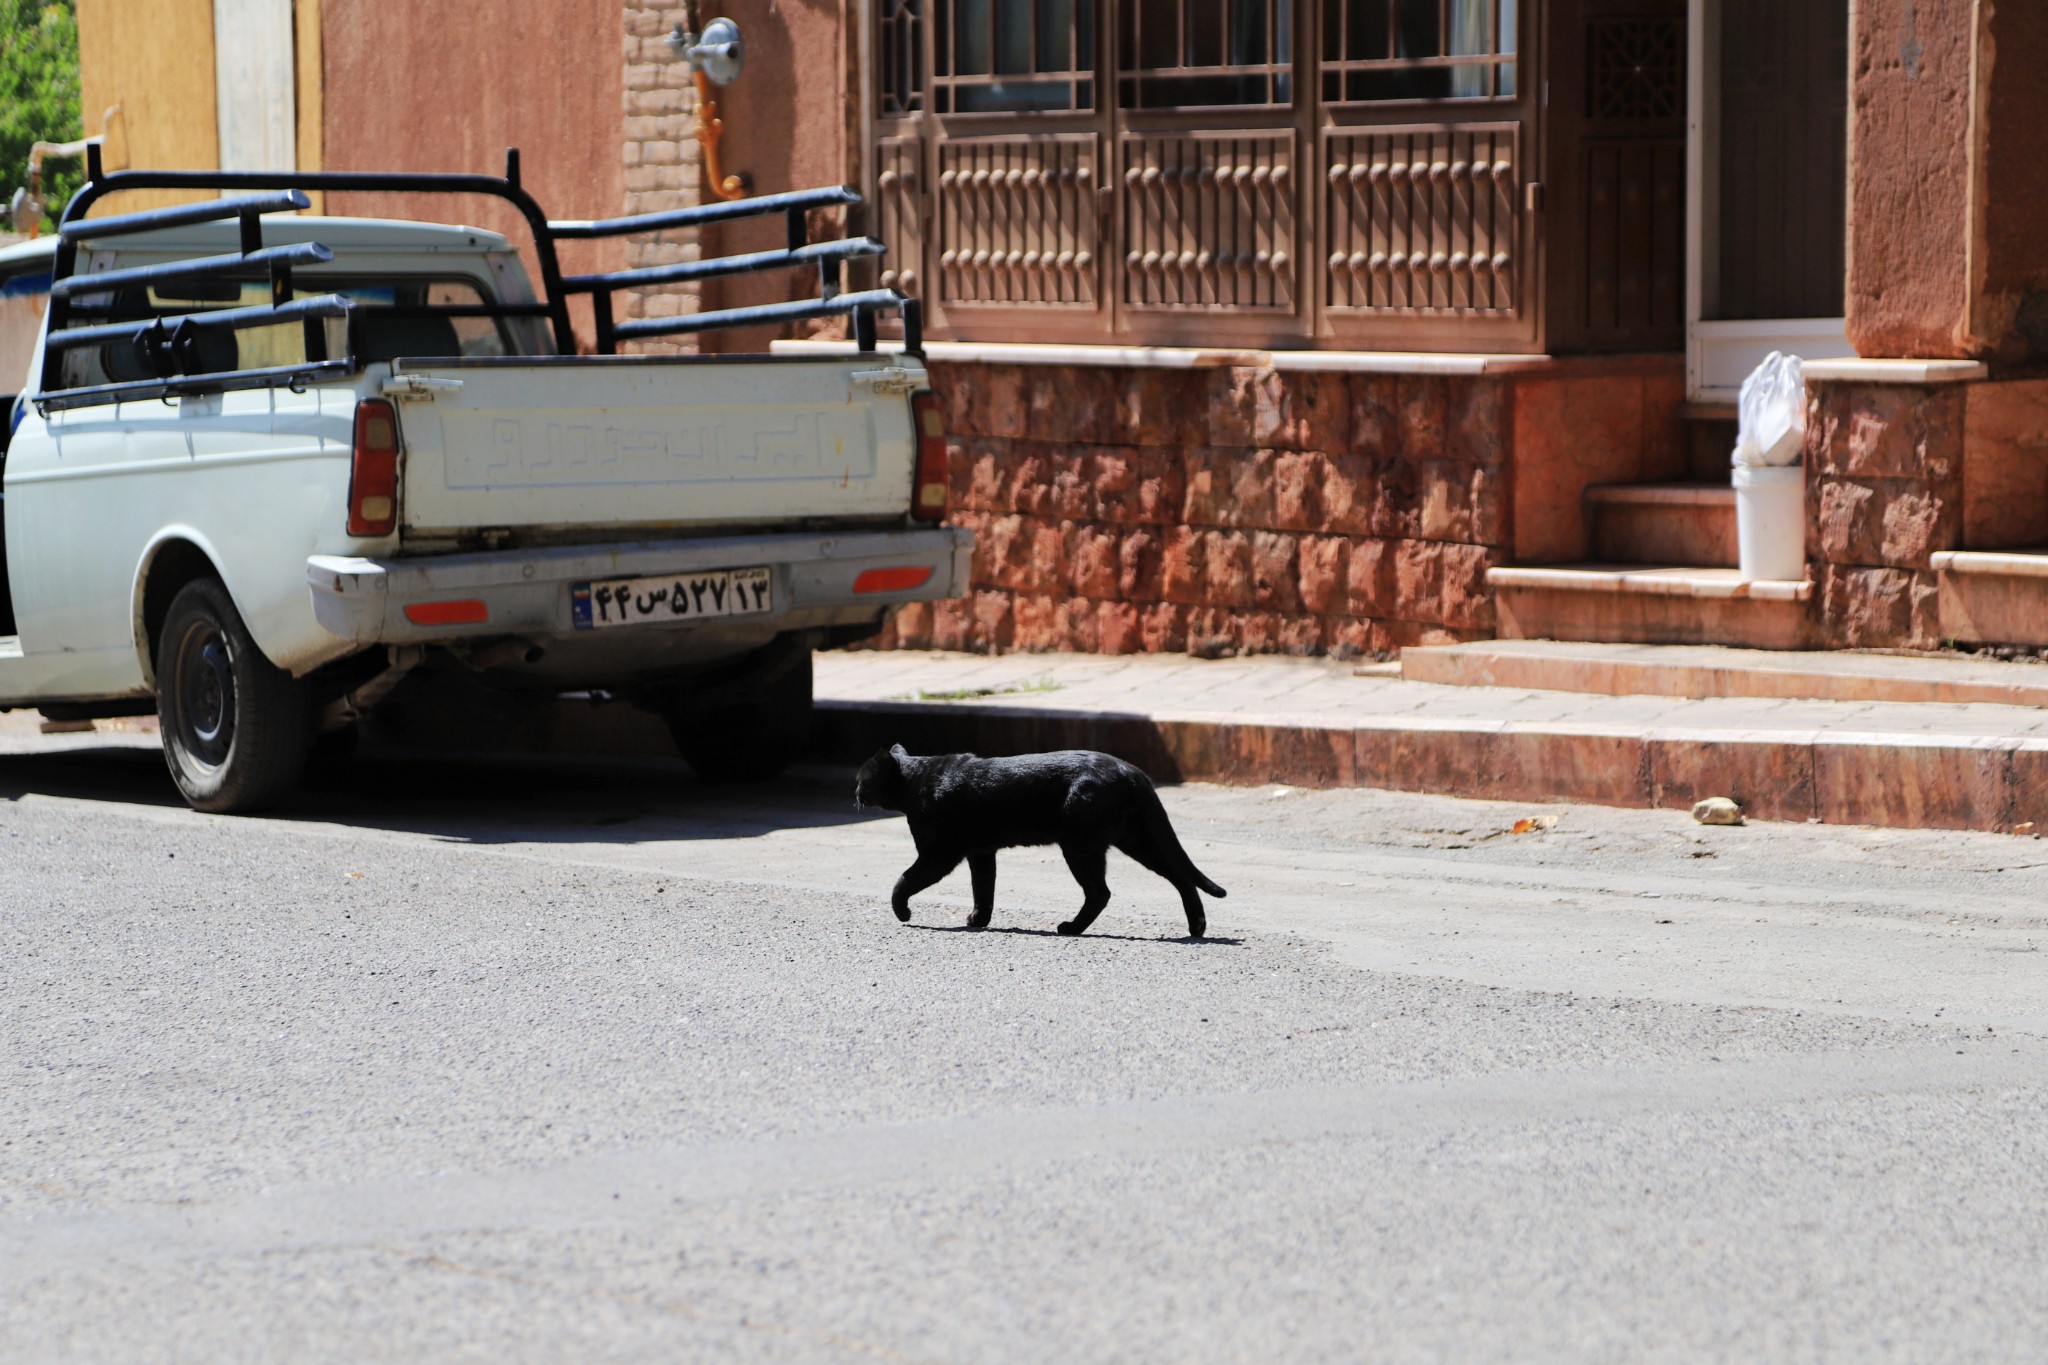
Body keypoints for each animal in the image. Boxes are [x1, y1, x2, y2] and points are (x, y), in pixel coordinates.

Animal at [851, 749, 1220, 941]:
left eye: (862, 779)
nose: (855, 793)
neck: (915, 783)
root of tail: (1130, 770)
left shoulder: (939, 853)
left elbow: (904, 880)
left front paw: (903, 912)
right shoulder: (980, 852)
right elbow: (983, 888)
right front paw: (978, 920)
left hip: (1081, 845)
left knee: (1100, 892)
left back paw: (1070, 929)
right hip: (1134, 839)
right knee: (1180, 877)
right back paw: (1197, 927)